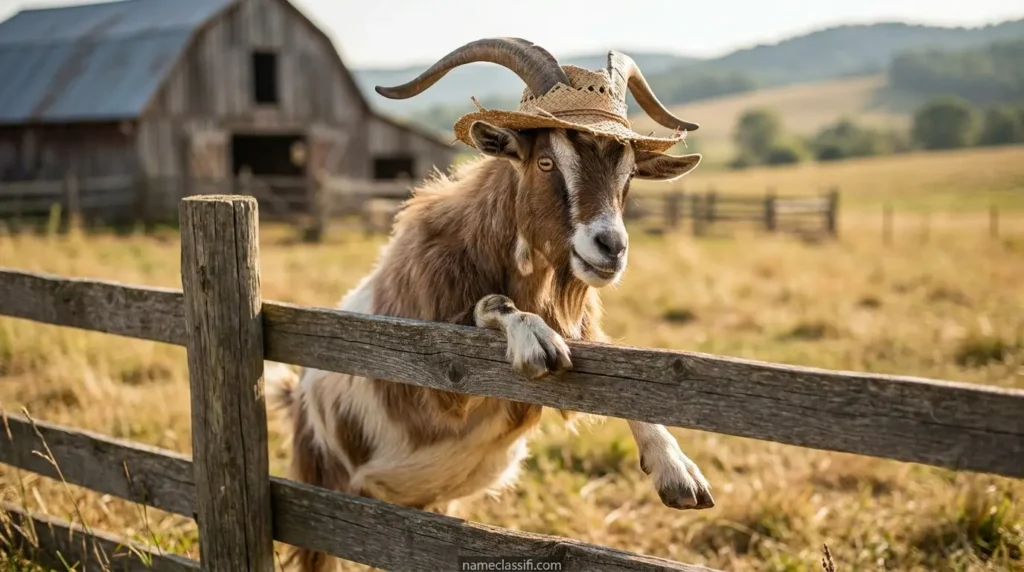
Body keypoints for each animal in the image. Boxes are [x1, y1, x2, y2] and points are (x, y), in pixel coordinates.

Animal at [267, 38, 713, 571]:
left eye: (628, 177)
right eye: (546, 162)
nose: (610, 247)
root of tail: (295, 393)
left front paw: (677, 470)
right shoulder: (424, 372)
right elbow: (490, 309)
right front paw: (534, 339)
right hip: (321, 489)